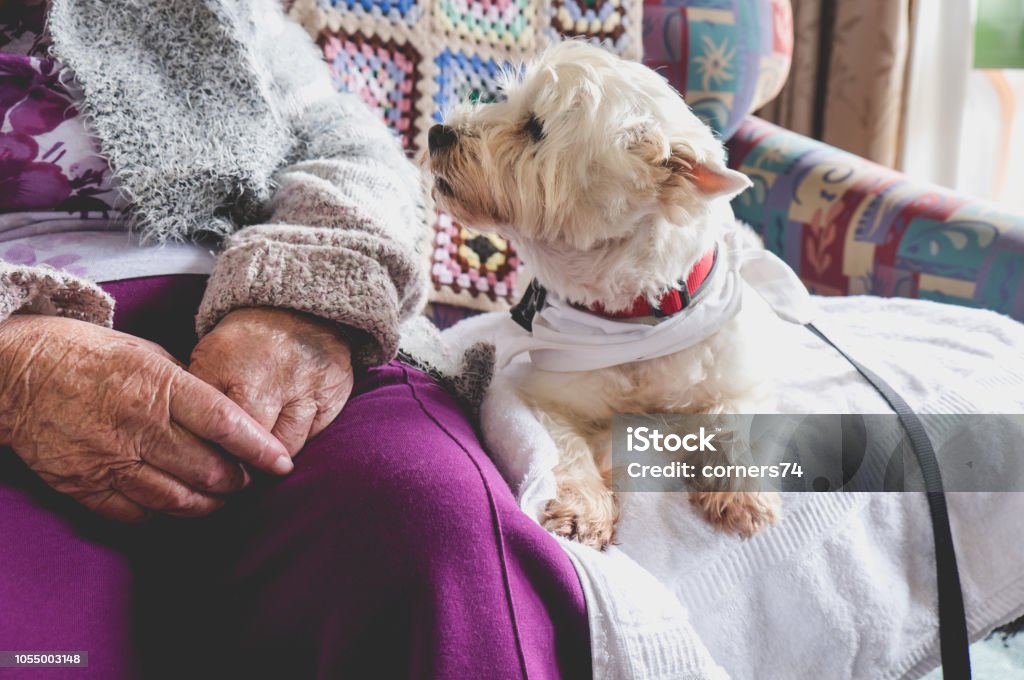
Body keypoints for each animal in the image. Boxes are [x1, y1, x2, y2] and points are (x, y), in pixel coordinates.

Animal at [423, 39, 806, 548]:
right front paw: (584, 510)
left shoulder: (739, 379)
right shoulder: (545, 395)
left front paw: (741, 495)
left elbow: (727, 421)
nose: (436, 132)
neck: (638, 317)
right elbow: (563, 448)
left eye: (535, 127)